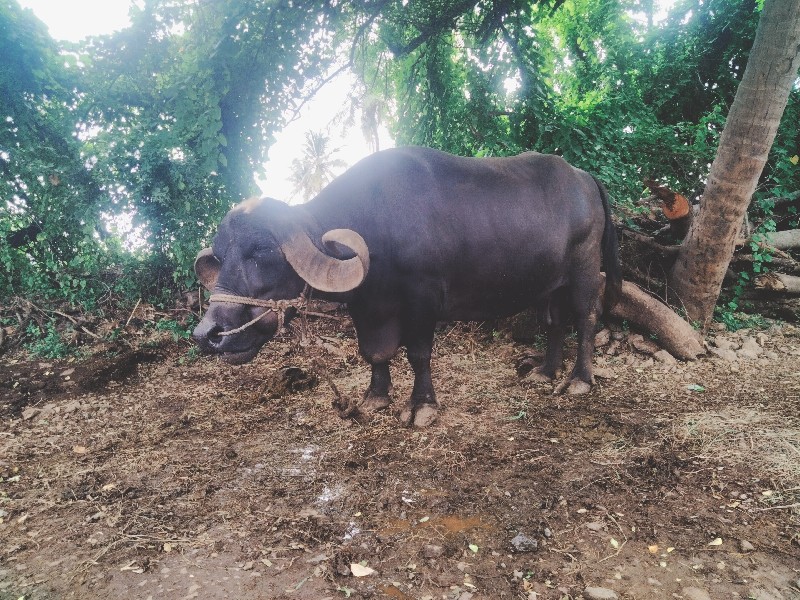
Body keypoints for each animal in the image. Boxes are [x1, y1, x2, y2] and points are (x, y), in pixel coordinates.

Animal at [193, 146, 622, 426]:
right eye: (221, 255)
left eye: (262, 250)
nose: (207, 333)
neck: (375, 223)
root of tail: (584, 178)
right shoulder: (368, 307)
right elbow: (374, 353)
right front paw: (375, 397)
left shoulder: (422, 300)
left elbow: (417, 354)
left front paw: (421, 407)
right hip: (548, 284)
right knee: (554, 323)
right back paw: (545, 371)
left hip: (585, 271)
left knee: (586, 317)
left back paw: (578, 380)